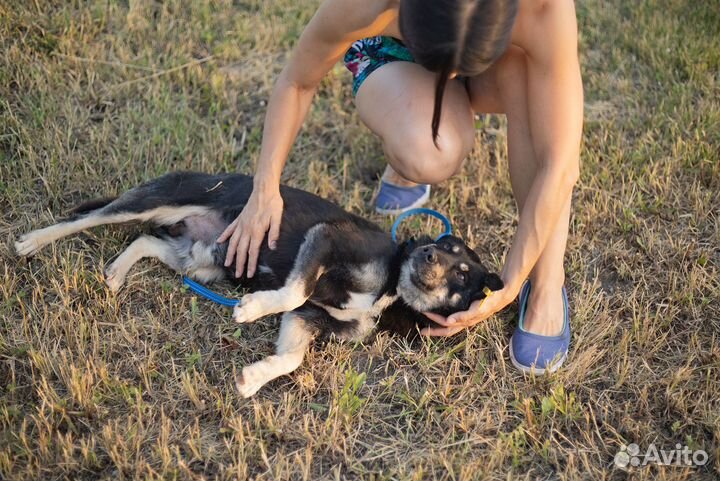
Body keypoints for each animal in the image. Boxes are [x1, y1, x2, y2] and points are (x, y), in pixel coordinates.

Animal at [14, 171, 504, 396]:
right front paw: (250, 309)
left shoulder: (308, 318)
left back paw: (116, 272)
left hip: (201, 260)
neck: (389, 291)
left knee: (145, 240)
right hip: (162, 200)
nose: (427, 254)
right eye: (443, 245)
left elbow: (290, 359)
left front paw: (252, 378)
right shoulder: (324, 240)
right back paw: (31, 241)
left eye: (463, 271)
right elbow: (293, 289)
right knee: (90, 218)